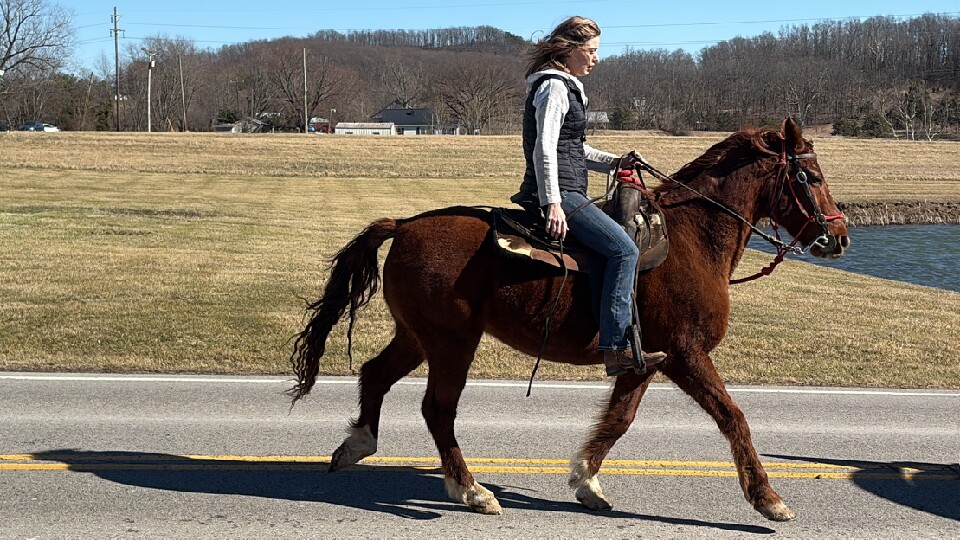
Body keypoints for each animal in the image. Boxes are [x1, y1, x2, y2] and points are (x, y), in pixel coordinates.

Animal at [289, 117, 850, 521]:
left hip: (417, 336)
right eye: (813, 177)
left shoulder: (644, 361)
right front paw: (767, 498)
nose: (840, 236)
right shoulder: (686, 354)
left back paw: (357, 444)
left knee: (376, 375)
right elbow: (733, 417)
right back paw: (471, 491)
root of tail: (404, 224)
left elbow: (619, 420)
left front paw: (586, 481)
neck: (693, 236)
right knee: (437, 410)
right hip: (451, 342)